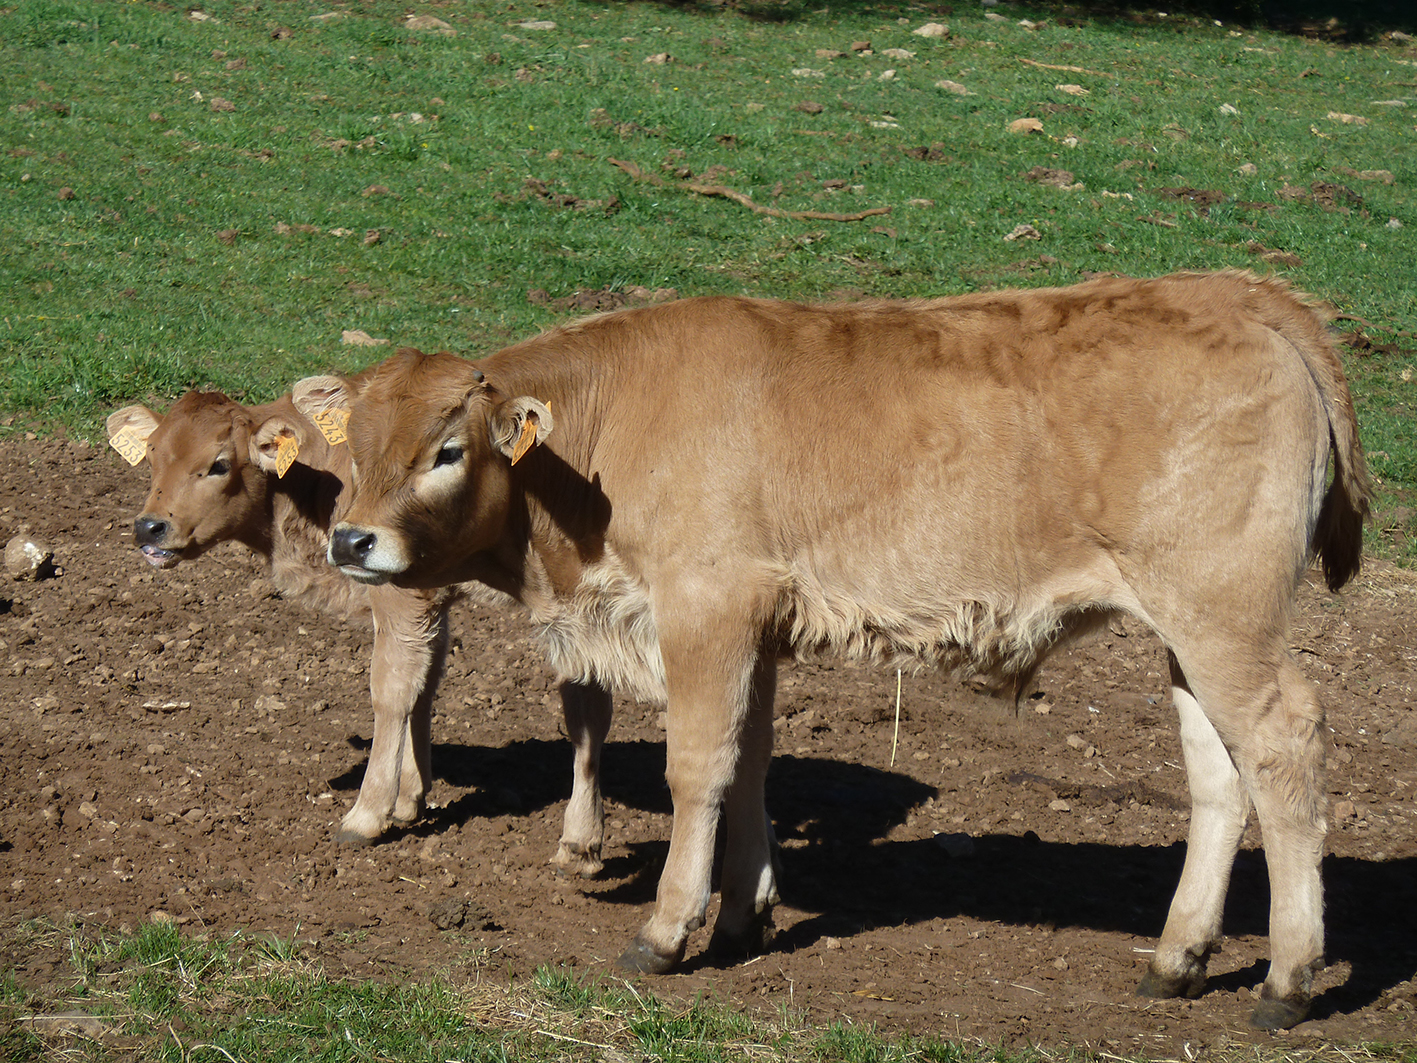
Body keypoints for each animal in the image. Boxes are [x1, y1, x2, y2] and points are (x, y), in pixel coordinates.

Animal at [104, 391, 614, 873]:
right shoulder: (431, 603)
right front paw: (409, 795)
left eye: (219, 464)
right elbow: (424, 686)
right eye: (151, 456)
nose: (149, 527)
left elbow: (391, 691)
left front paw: (368, 813)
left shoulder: (399, 597)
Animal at [298, 274, 1371, 1031]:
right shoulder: (758, 628)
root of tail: (1239, 292)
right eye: (355, 445)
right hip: (1185, 631)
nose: (351, 540)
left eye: (448, 449)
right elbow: (750, 765)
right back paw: (1176, 958)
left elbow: (697, 766)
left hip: (1223, 615)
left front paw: (668, 927)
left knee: (1283, 744)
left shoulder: (707, 604)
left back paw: (1287, 979)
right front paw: (743, 912)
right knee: (1218, 772)